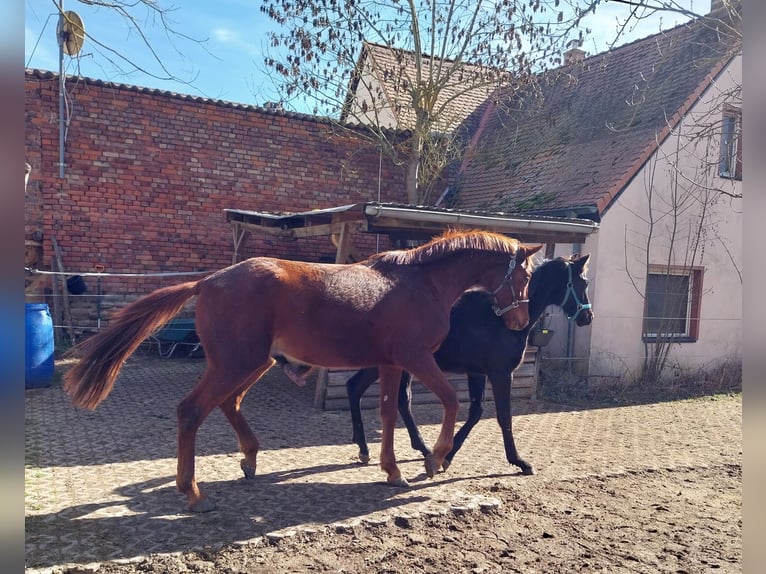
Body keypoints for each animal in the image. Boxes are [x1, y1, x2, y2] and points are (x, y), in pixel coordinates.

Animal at [63, 229, 543, 512]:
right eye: (524, 277)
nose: (520, 323)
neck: (420, 284)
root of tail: (208, 281)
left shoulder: (390, 364)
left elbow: (389, 414)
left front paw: (392, 470)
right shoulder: (415, 358)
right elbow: (449, 401)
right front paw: (434, 459)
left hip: (251, 363)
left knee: (229, 404)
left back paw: (249, 458)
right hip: (236, 362)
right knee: (192, 411)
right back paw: (192, 491)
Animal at [328, 253, 593, 475]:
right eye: (584, 283)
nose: (587, 317)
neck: (500, 318)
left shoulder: (477, 373)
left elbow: (476, 412)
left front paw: (446, 456)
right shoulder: (500, 373)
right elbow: (503, 416)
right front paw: (519, 461)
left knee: (374, 392)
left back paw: (396, 448)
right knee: (361, 389)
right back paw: (372, 448)